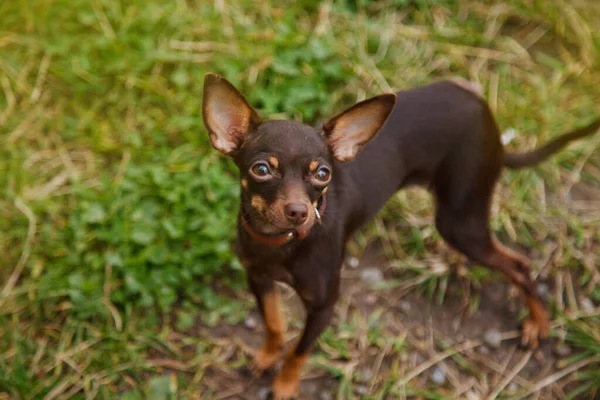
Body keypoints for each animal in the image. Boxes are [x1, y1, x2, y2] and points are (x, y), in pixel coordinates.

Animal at [203, 73, 600, 398]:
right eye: (261, 170)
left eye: (322, 174)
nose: (299, 212)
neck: (282, 243)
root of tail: (488, 116)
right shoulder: (259, 278)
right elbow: (273, 322)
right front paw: (268, 356)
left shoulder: (324, 306)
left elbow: (300, 351)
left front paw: (285, 385)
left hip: (460, 223)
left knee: (518, 263)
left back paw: (538, 322)